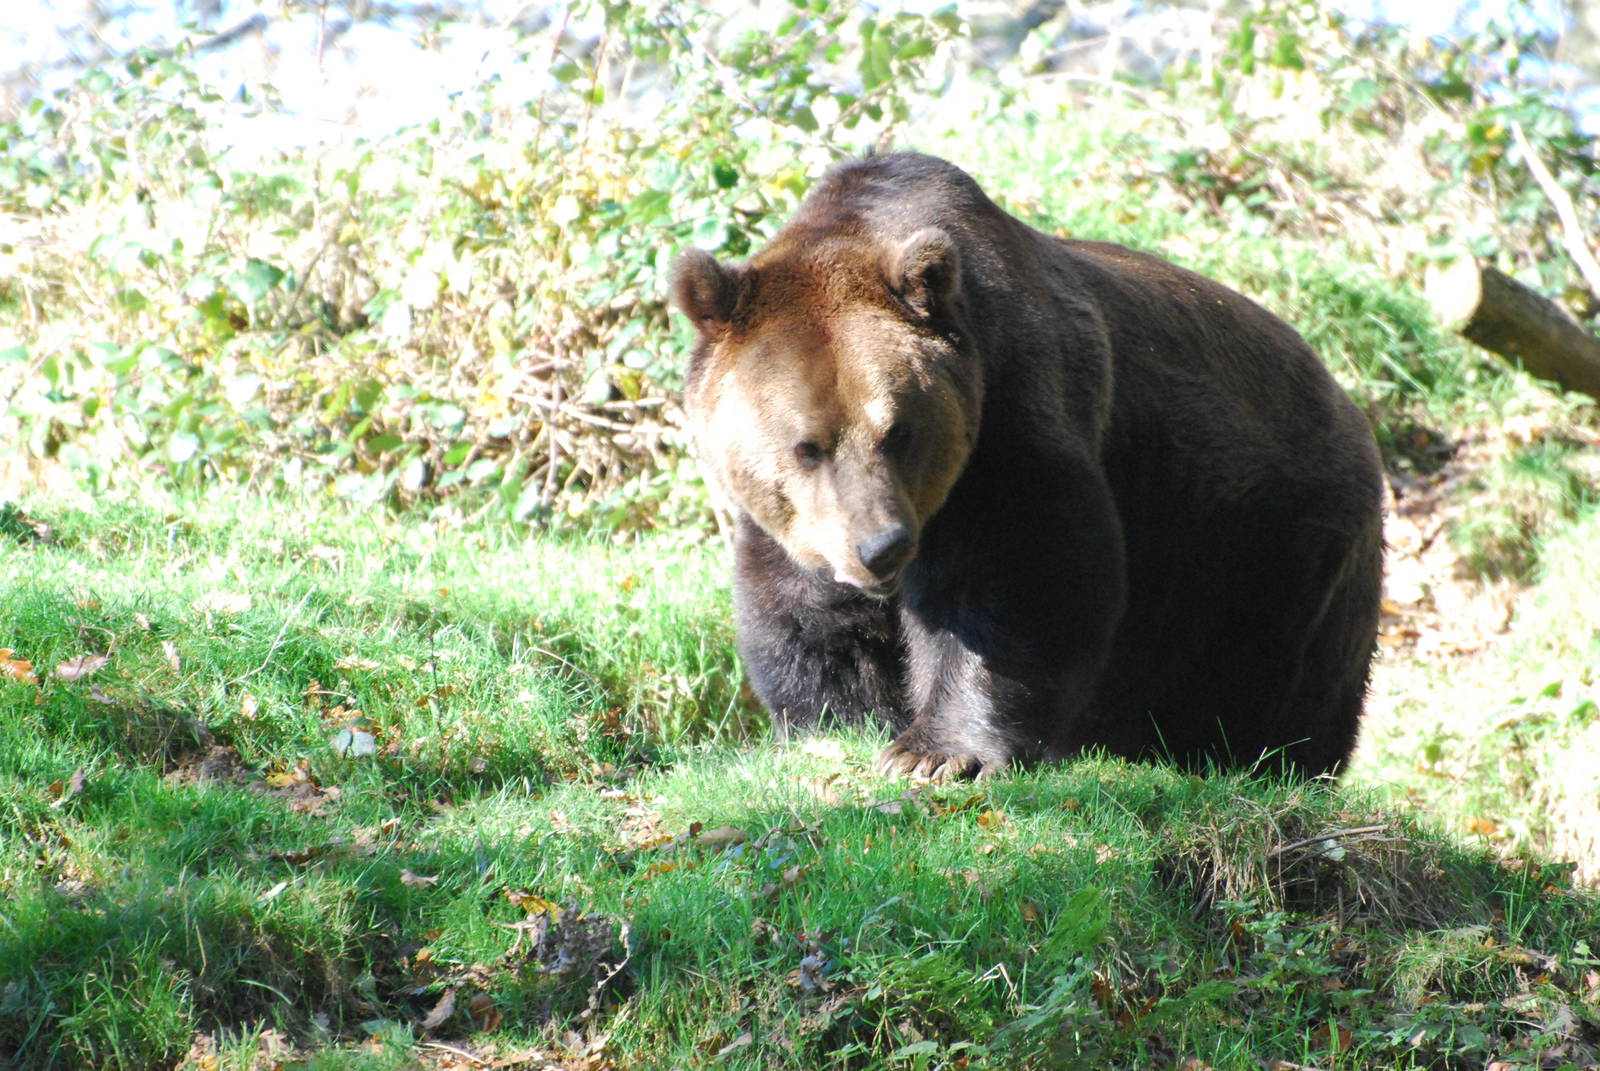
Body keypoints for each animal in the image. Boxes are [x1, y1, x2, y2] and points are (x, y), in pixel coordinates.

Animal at [669, 152, 1384, 780]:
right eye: (806, 445)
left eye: (899, 433)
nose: (880, 547)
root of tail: (1346, 398)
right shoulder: (795, 524)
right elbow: (804, 614)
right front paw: (839, 723)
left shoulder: (1010, 418)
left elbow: (1018, 576)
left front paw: (934, 753)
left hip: (1266, 540)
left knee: (1277, 676)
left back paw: (1266, 760)